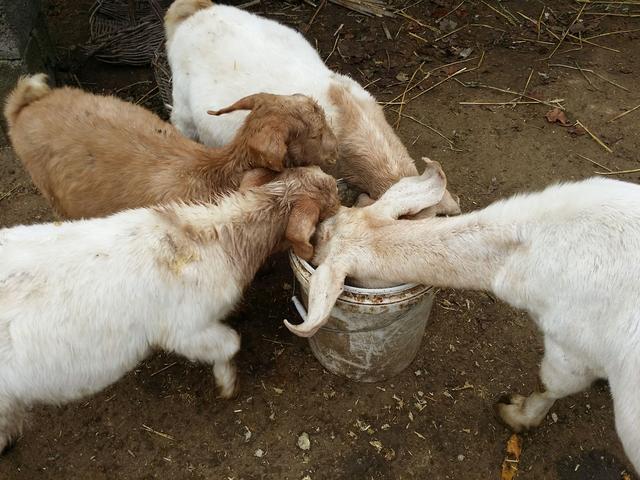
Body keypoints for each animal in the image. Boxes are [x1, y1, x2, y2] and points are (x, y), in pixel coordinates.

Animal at [0, 166, 340, 454]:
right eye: (330, 198)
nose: (339, 188)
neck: (212, 237)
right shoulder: (186, 330)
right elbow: (231, 344)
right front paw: (227, 382)